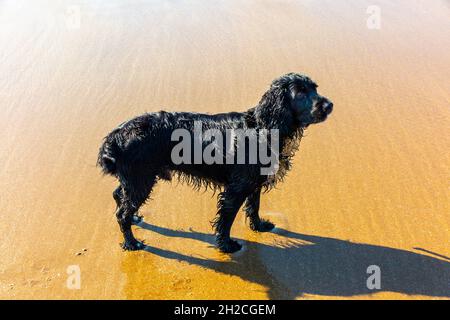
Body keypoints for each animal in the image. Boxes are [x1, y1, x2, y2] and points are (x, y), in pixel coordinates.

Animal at [97, 72, 330, 252]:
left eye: (314, 88)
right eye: (300, 92)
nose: (329, 105)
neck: (263, 127)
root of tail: (115, 136)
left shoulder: (253, 182)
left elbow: (254, 206)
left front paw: (258, 226)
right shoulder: (236, 188)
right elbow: (226, 219)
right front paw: (226, 245)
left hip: (136, 179)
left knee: (118, 195)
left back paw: (135, 219)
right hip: (141, 180)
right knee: (121, 213)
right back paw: (132, 243)